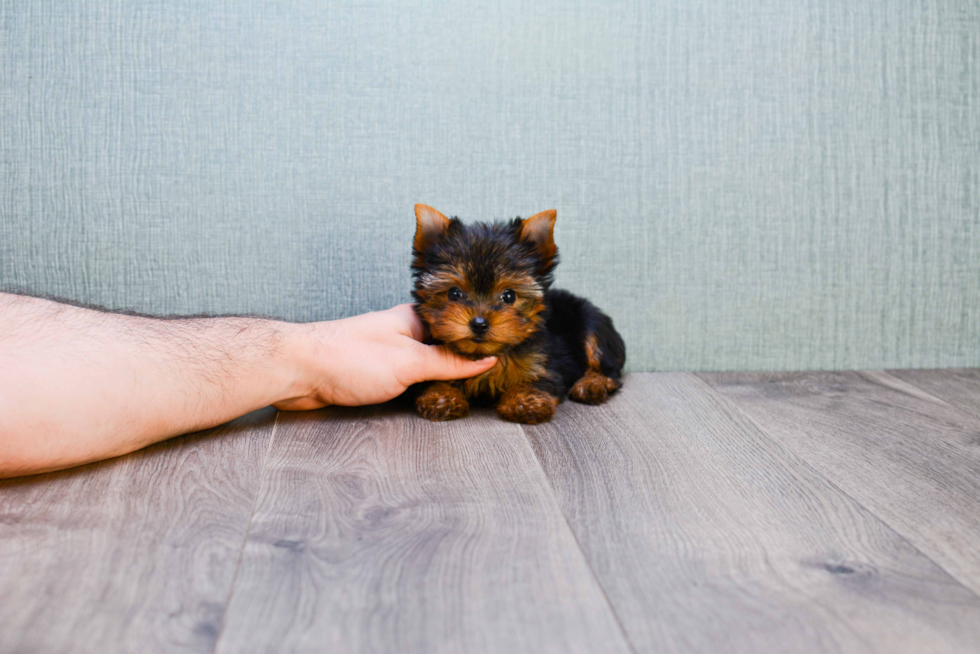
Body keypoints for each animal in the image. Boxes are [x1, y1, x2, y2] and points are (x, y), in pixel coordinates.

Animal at [408, 205, 624, 426]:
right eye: (454, 293)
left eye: (509, 295)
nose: (479, 324)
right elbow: (431, 379)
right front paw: (441, 397)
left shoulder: (546, 363)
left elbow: (540, 380)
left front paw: (525, 402)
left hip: (591, 322)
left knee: (607, 367)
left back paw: (592, 383)